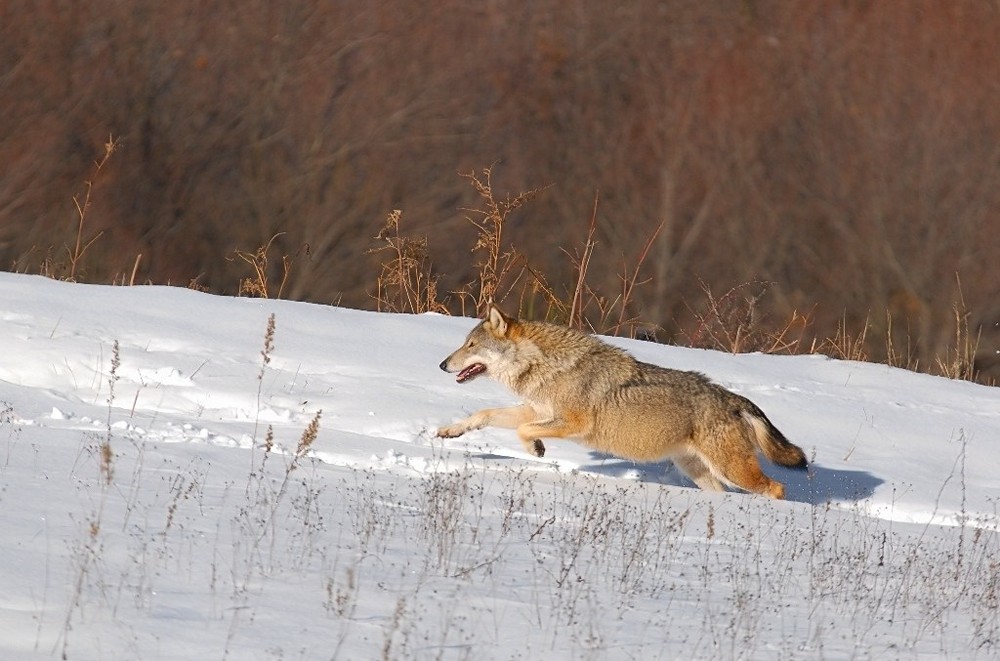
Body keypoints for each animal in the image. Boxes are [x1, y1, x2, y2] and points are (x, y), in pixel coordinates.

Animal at [436, 306, 804, 498]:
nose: (441, 364)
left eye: (470, 345)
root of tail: (733, 398)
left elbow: (524, 431)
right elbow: (485, 414)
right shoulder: (534, 410)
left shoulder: (572, 423)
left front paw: (535, 449)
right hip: (702, 473)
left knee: (776, 488)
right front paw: (451, 431)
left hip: (734, 471)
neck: (548, 366)